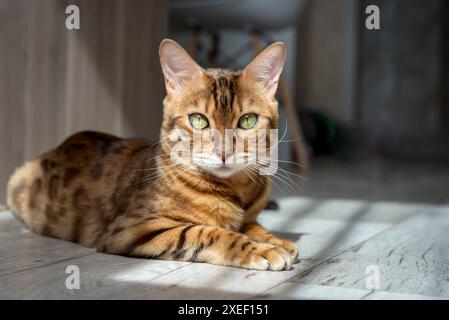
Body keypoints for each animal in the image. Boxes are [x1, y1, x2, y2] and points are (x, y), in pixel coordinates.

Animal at [6, 38, 298, 272]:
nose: (224, 152)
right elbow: (210, 232)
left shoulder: (249, 216)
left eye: (248, 121)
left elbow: (253, 226)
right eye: (198, 120)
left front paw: (275, 240)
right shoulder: (135, 228)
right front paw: (263, 249)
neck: (235, 190)